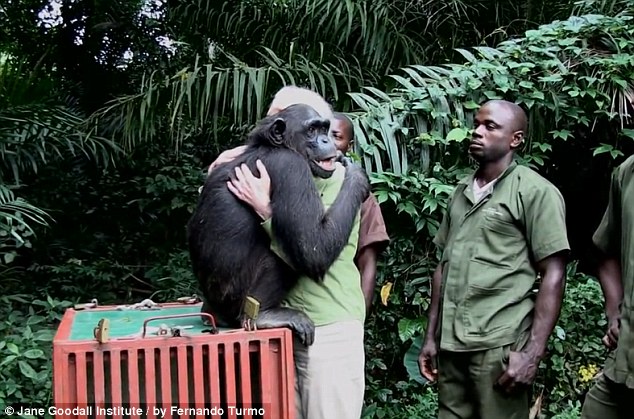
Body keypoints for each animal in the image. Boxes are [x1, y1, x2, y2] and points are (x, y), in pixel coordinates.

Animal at [185, 103, 368, 346]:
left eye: (324, 128)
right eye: (312, 130)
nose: (326, 140)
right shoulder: (291, 168)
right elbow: (313, 247)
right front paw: (357, 176)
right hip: (236, 300)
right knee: (284, 256)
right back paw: (265, 316)